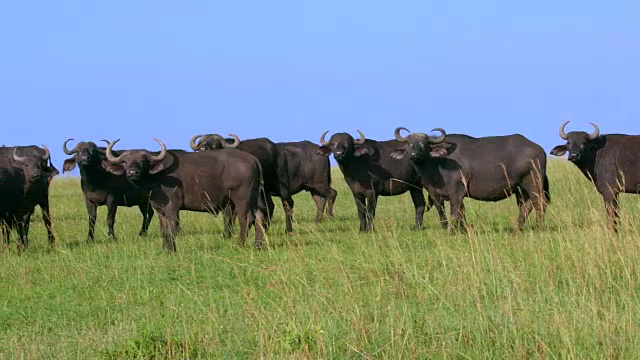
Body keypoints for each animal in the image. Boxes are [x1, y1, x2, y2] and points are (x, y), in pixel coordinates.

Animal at [103, 139, 268, 252]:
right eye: (125, 162)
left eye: (143, 161)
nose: (133, 172)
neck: (158, 176)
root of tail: (252, 159)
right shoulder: (160, 209)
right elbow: (163, 229)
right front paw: (165, 248)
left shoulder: (172, 207)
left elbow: (171, 228)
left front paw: (172, 250)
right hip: (254, 198)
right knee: (259, 215)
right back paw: (258, 245)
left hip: (241, 199)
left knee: (246, 219)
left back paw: (240, 244)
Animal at [390, 126, 552, 231]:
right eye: (409, 143)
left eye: (424, 144)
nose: (414, 155)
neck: (437, 164)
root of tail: (539, 149)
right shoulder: (435, 194)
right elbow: (446, 212)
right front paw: (455, 229)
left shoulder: (457, 192)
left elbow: (455, 212)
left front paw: (452, 231)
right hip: (521, 188)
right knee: (526, 205)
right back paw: (516, 229)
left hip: (533, 182)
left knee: (539, 204)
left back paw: (539, 228)